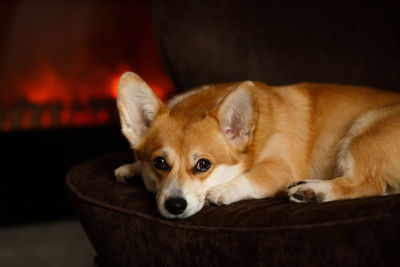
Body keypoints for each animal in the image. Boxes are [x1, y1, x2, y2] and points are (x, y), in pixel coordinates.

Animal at [114, 72, 400, 219]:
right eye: (159, 163)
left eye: (203, 165)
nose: (175, 206)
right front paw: (131, 168)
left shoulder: (281, 168)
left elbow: (250, 178)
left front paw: (223, 190)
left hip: (363, 132)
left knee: (368, 183)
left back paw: (311, 190)